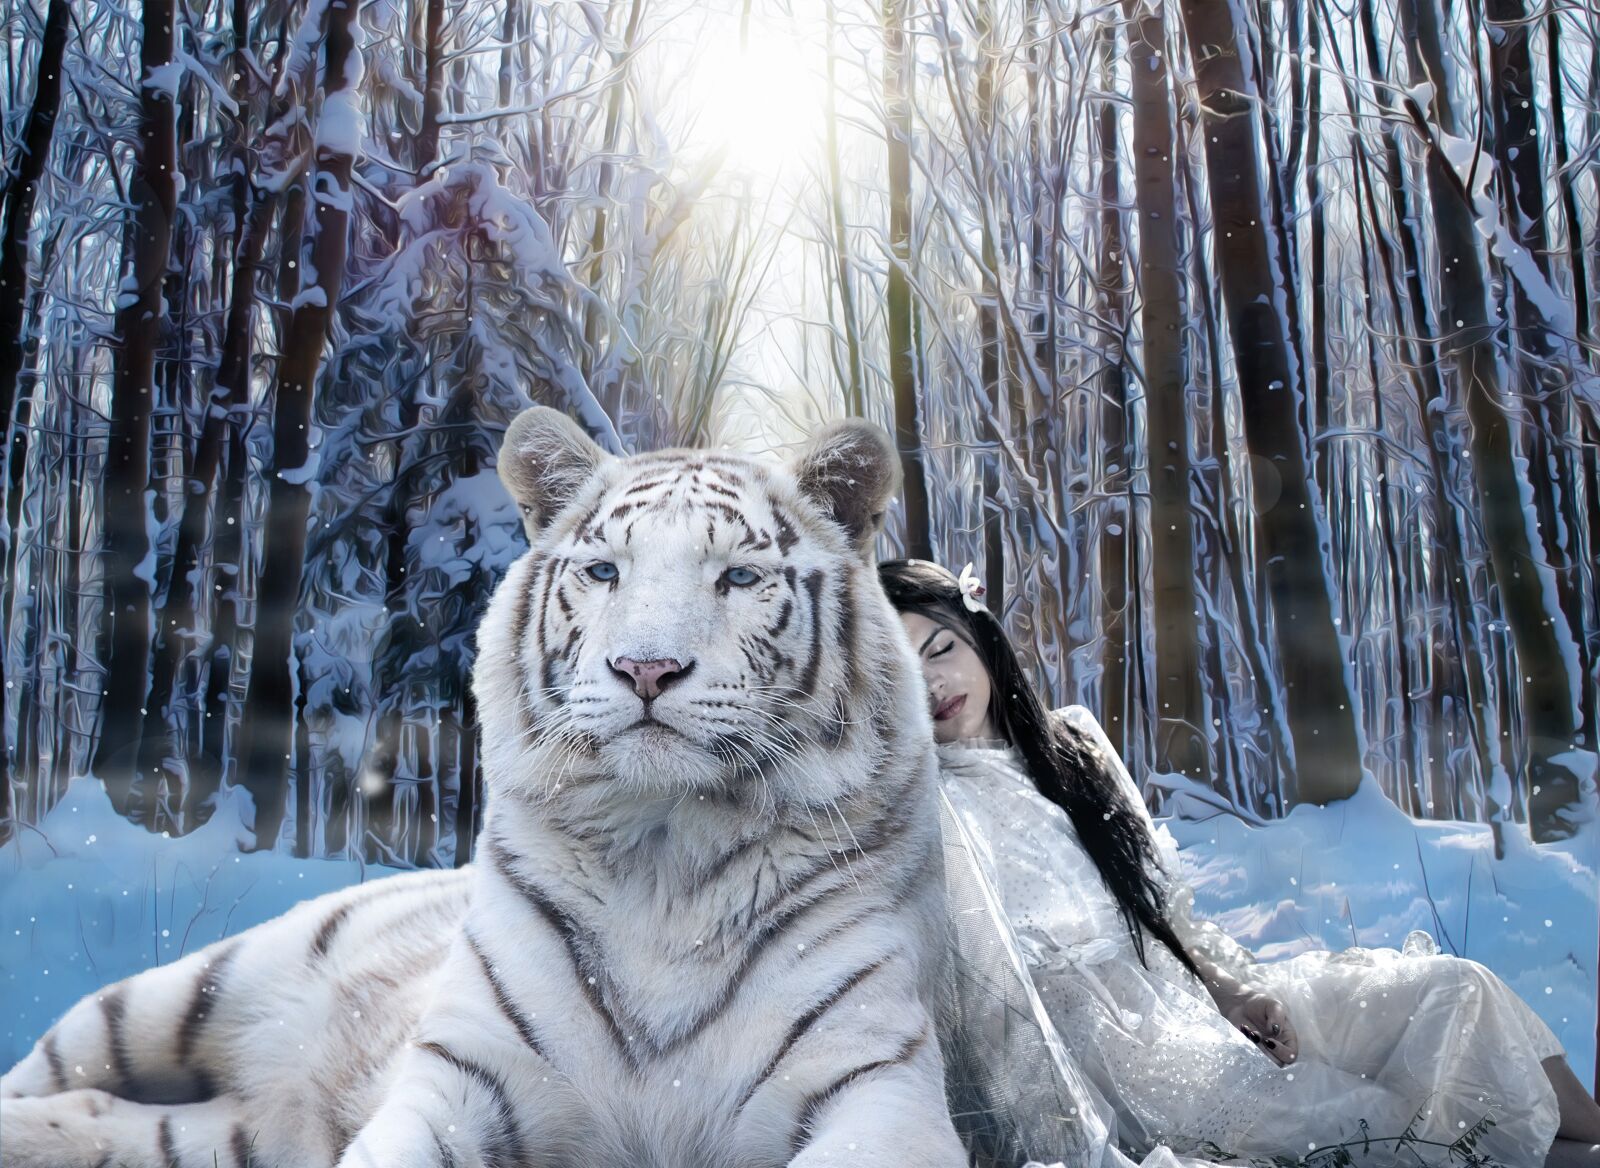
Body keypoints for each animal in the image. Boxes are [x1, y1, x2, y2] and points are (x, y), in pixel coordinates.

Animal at [0, 407, 969, 1168]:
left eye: (739, 576)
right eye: (604, 571)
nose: (645, 669)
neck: (667, 857)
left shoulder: (876, 1085)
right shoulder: (466, 1074)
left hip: (230, 1129)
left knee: (109, 1118)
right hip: (177, 993)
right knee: (55, 1072)